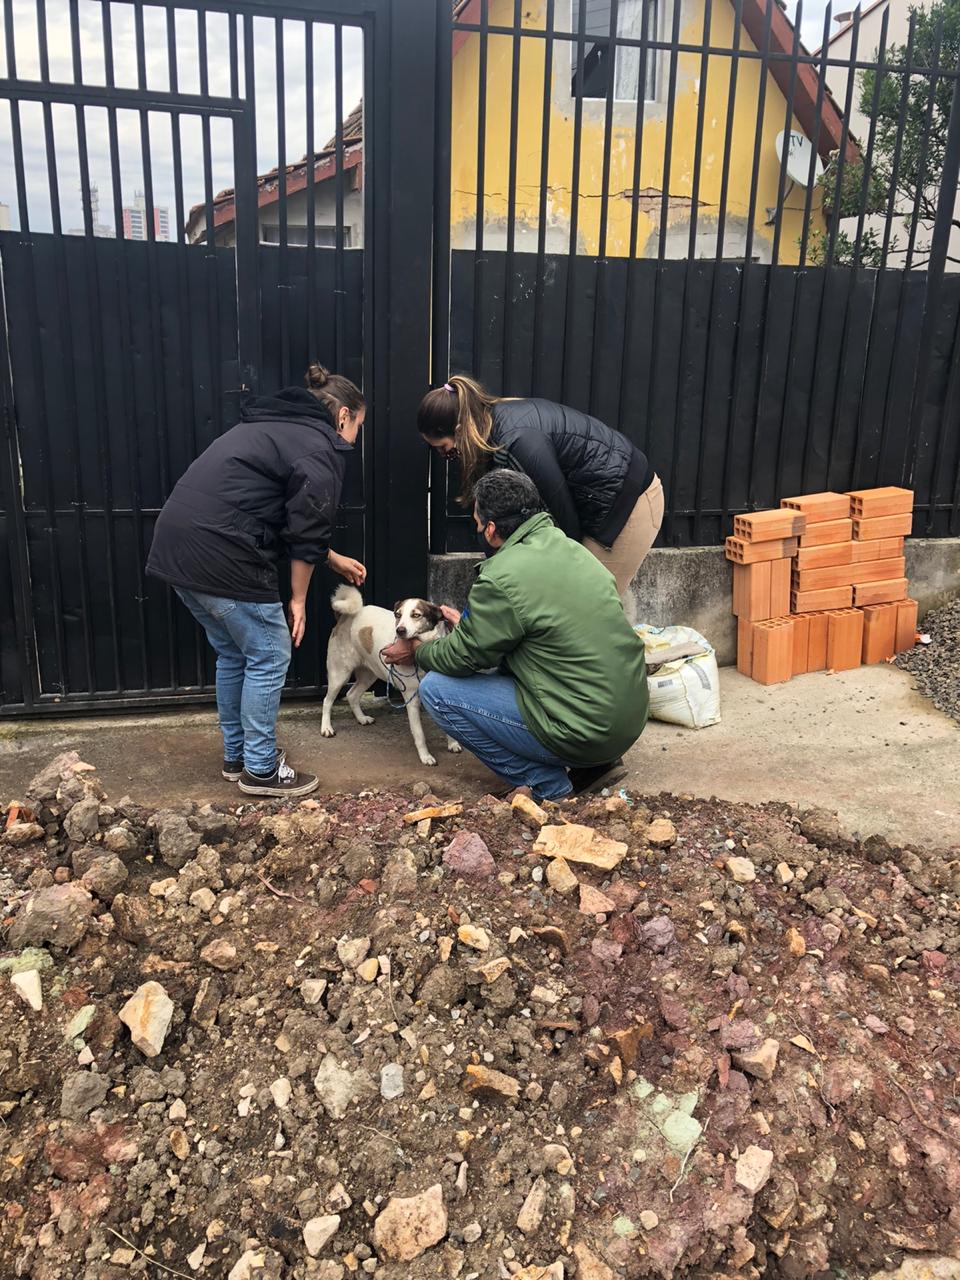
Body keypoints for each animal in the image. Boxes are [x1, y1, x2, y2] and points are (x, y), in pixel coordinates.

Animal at [320, 586, 463, 762]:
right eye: (398, 615)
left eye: (416, 615)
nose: (400, 630)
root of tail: (346, 616)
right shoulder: (411, 699)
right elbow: (419, 734)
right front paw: (425, 756)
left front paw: (453, 743)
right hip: (339, 674)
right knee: (327, 701)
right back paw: (326, 728)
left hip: (369, 675)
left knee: (351, 694)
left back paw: (361, 718)